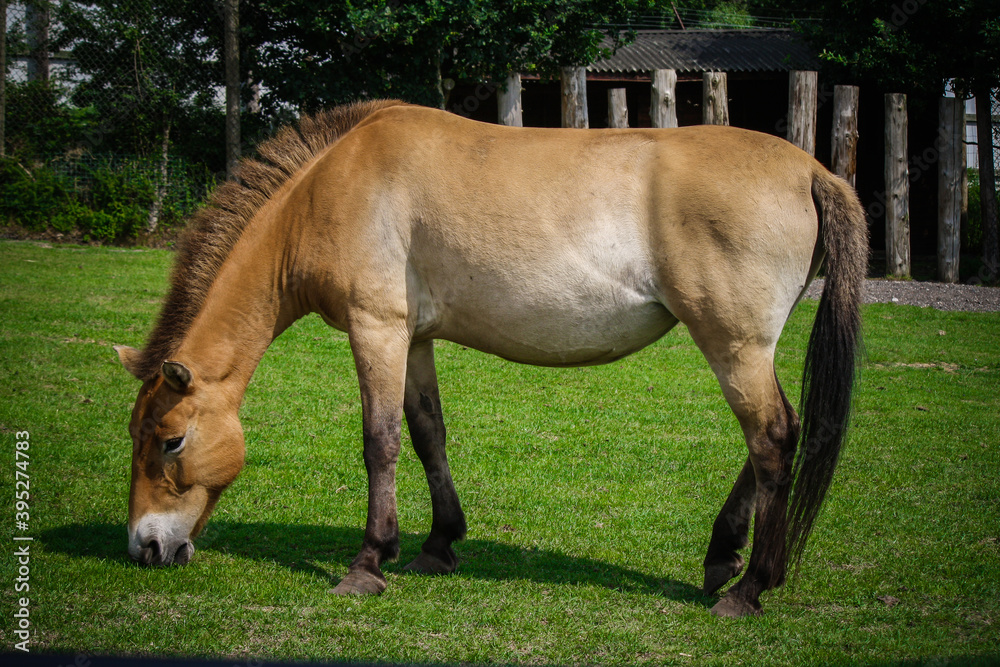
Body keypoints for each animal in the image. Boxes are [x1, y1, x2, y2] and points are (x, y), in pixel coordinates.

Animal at [116, 99, 867, 617]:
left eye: (171, 439)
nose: (145, 547)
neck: (330, 189)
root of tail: (813, 169)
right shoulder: (413, 338)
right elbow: (427, 434)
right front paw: (436, 544)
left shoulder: (375, 328)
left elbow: (380, 442)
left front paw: (368, 562)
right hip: (741, 349)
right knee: (775, 439)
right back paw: (723, 558)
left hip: (734, 346)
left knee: (772, 439)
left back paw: (748, 587)